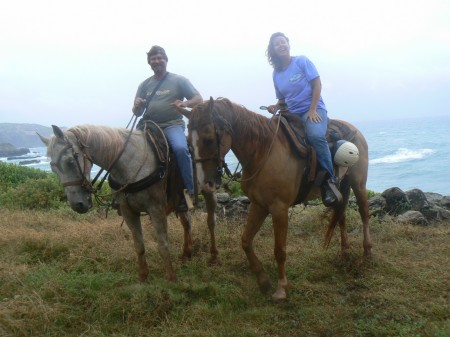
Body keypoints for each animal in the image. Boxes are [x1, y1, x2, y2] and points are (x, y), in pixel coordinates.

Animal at [40, 123, 220, 280]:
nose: (78, 205)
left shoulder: (156, 210)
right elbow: (139, 245)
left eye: (70, 161)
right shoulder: (128, 212)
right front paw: (143, 277)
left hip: (208, 190)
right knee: (187, 223)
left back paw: (214, 257)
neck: (130, 165)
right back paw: (186, 255)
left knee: (211, 222)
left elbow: (163, 244)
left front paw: (171, 278)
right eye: (52, 167)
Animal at [178, 96, 372, 300]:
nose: (204, 184)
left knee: (364, 213)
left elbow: (279, 250)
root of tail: (354, 130)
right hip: (341, 188)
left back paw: (367, 251)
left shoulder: (279, 209)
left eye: (208, 140)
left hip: (359, 184)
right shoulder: (259, 205)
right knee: (341, 216)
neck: (262, 152)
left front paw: (281, 288)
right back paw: (345, 252)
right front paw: (263, 280)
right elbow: (245, 241)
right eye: (188, 143)